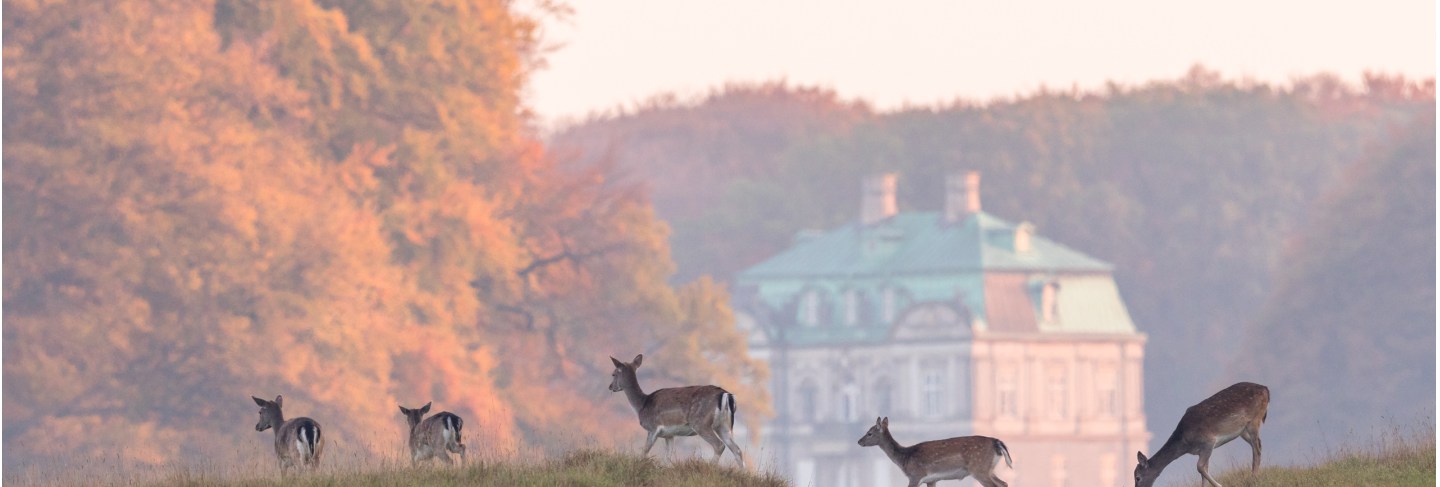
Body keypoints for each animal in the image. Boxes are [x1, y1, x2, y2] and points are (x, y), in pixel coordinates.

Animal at [607, 355, 748, 466]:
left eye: (613, 374)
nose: (610, 386)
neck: (642, 405)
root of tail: (726, 395)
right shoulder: (669, 435)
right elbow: (667, 457)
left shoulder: (653, 428)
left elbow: (645, 451)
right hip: (724, 426)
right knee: (737, 450)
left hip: (701, 423)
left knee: (719, 445)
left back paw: (710, 467)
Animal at [852, 414, 1013, 487]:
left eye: (869, 433)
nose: (859, 441)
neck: (904, 458)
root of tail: (997, 443)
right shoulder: (932, 479)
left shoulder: (915, 475)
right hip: (988, 469)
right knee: (1004, 483)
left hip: (979, 468)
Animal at [1134, 380, 1272, 487]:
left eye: (1137, 477)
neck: (1185, 442)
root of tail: (1266, 389)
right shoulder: (1202, 450)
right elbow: (1204, 470)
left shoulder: (1208, 441)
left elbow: (1199, 467)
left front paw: (1219, 484)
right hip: (1243, 431)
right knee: (1258, 444)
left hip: (1254, 420)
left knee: (1257, 448)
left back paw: (1253, 478)